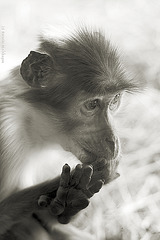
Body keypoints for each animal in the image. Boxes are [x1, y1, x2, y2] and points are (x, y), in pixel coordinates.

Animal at [0, 27, 138, 239]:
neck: (31, 121)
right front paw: (75, 185)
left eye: (114, 100)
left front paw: (72, 198)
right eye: (92, 104)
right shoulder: (6, 134)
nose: (113, 142)